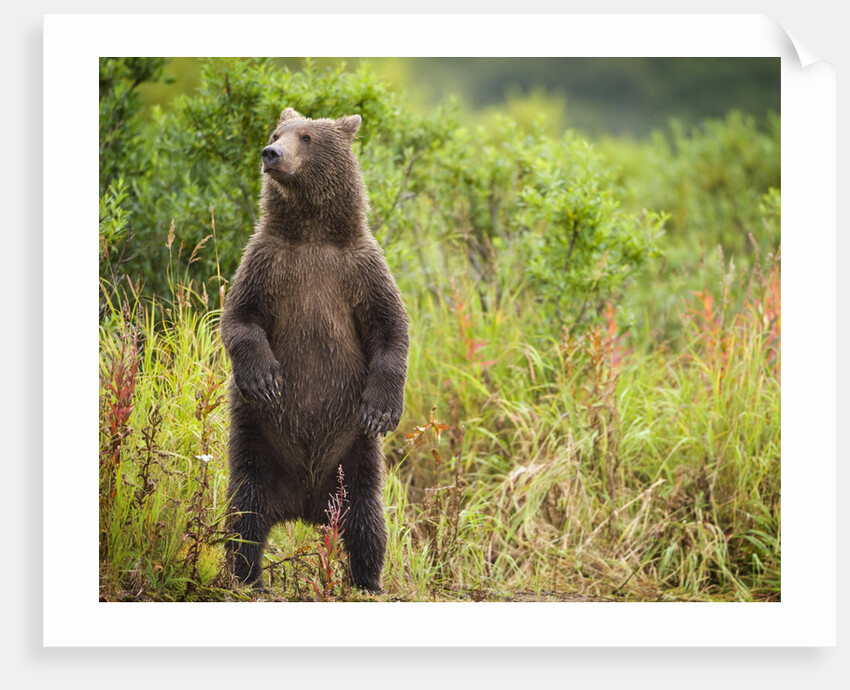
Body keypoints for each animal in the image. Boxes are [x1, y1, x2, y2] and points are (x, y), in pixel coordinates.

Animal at [220, 107, 409, 593]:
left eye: (306, 136)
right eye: (276, 132)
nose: (270, 153)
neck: (312, 234)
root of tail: (305, 505)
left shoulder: (359, 269)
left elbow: (391, 329)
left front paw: (382, 409)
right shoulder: (266, 264)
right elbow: (240, 319)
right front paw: (264, 379)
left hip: (354, 459)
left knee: (367, 521)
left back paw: (368, 581)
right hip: (257, 445)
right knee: (245, 513)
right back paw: (248, 578)